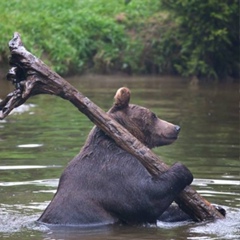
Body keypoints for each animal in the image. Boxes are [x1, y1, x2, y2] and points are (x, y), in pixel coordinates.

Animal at [37, 87, 193, 226]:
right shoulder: (115, 170)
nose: (176, 128)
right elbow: (146, 198)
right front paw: (182, 169)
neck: (117, 140)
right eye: (153, 115)